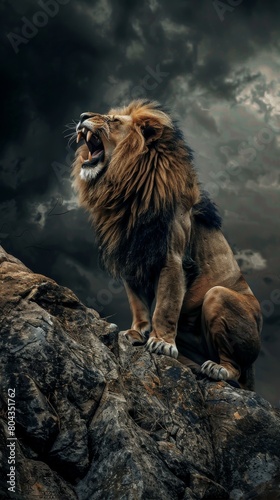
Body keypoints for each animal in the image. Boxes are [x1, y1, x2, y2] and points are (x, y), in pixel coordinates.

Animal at [71, 98, 262, 390]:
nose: (82, 115)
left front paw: (161, 342)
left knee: (237, 369)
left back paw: (217, 369)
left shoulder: (172, 258)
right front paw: (136, 332)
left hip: (219, 296)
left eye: (113, 121)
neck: (125, 190)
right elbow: (138, 303)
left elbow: (166, 305)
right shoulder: (132, 257)